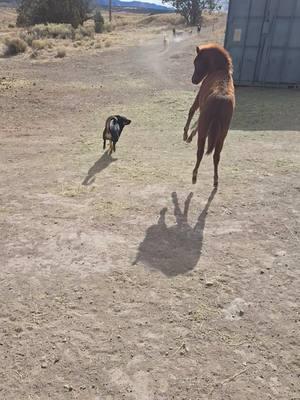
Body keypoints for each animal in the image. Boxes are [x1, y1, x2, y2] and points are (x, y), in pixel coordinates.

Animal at [183, 43, 234, 187]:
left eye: (196, 62)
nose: (194, 80)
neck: (220, 70)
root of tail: (221, 100)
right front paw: (189, 136)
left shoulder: (199, 98)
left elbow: (191, 111)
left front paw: (186, 135)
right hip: (222, 134)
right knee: (216, 156)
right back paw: (215, 180)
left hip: (207, 127)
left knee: (200, 152)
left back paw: (194, 176)